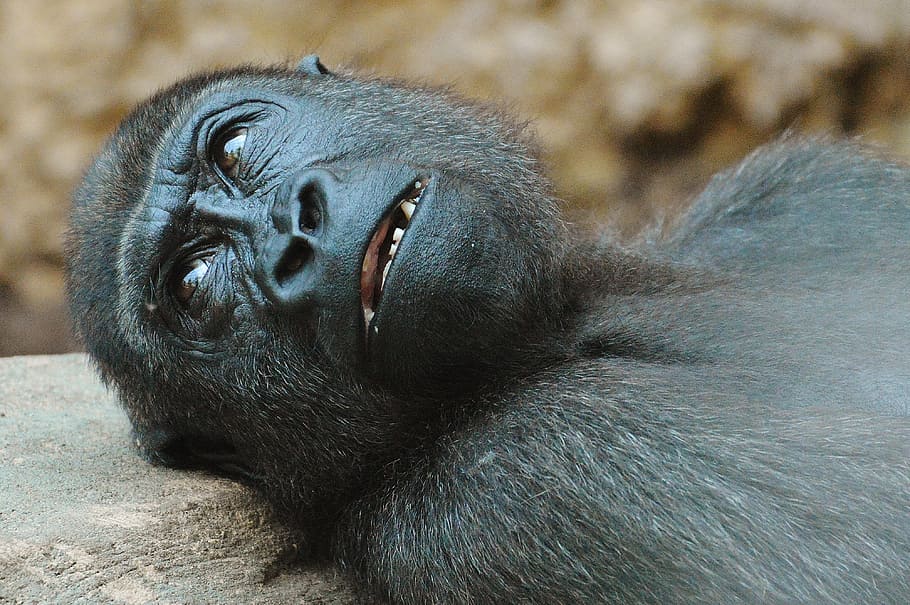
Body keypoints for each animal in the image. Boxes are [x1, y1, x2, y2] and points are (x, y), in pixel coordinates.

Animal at [65, 56, 910, 604]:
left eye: (233, 147)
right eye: (192, 281)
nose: (294, 228)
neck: (565, 313)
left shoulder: (804, 193)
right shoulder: (532, 481)